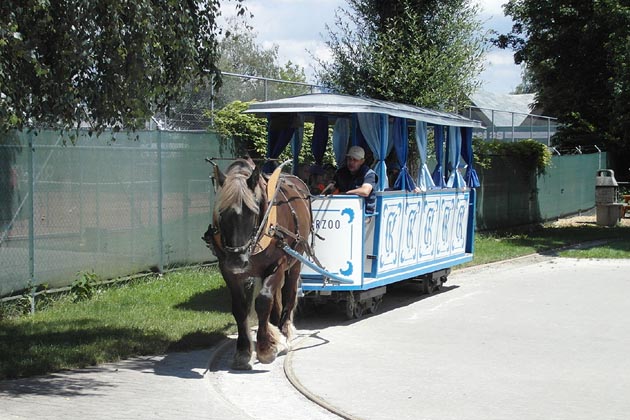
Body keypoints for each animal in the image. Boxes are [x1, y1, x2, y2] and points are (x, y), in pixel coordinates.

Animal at [205, 158, 314, 370]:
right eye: (221, 212)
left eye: (252, 212)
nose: (237, 260)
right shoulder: (228, 271)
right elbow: (240, 308)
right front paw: (243, 351)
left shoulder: (278, 264)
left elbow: (263, 301)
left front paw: (266, 348)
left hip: (295, 261)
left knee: (288, 293)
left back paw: (285, 331)